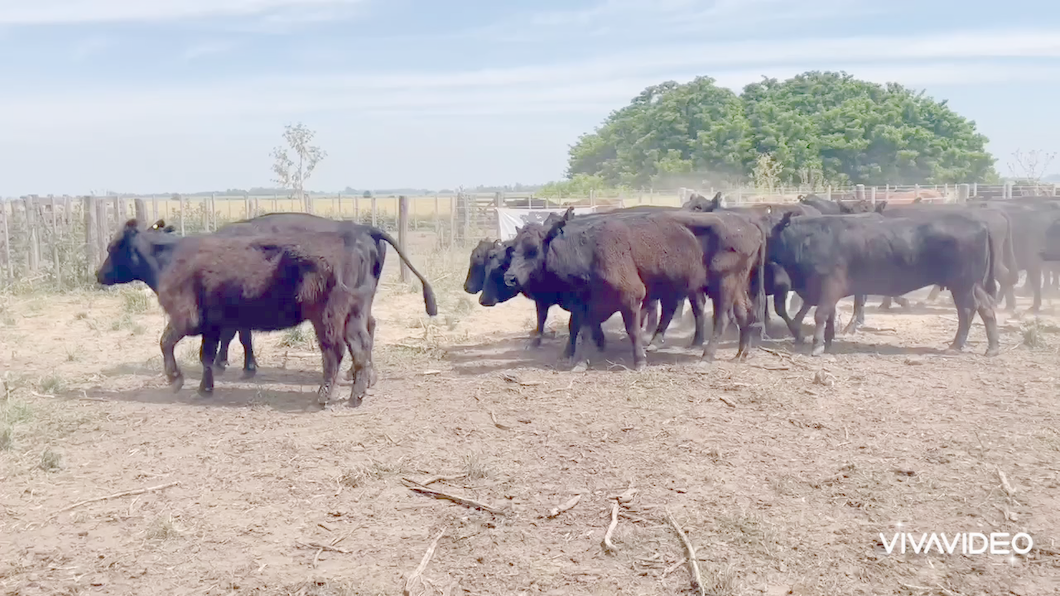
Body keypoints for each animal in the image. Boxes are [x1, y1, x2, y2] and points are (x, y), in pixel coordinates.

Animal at [767, 211, 996, 354]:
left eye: (767, 232)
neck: (809, 238)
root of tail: (981, 224)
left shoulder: (830, 285)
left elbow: (821, 314)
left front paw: (817, 345)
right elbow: (829, 315)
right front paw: (829, 340)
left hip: (962, 285)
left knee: (967, 310)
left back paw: (957, 345)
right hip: (974, 284)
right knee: (986, 308)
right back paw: (992, 347)